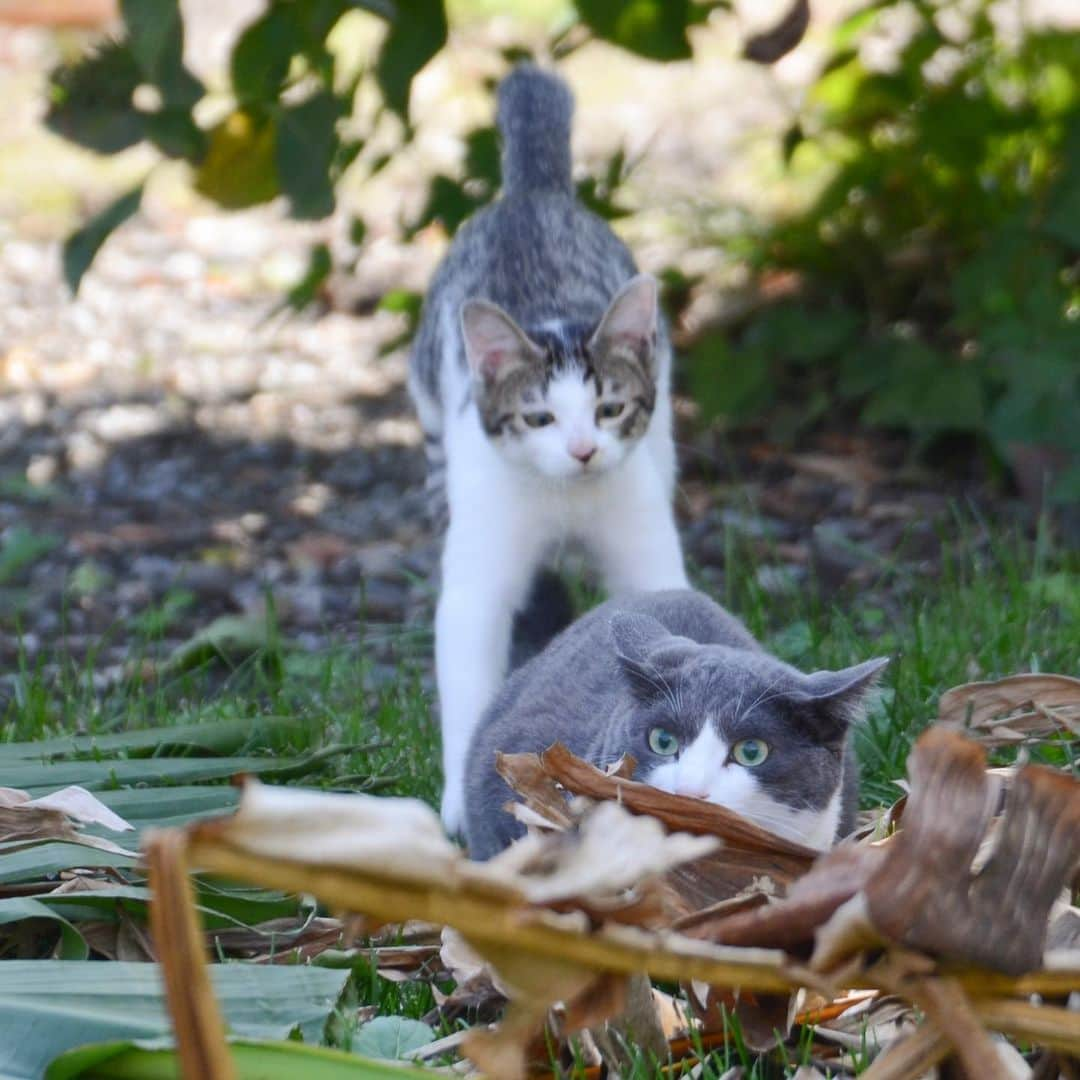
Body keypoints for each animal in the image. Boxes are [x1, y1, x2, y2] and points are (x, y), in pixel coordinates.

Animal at [408, 65, 686, 833]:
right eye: (538, 417)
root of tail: (532, 192)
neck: (566, 499)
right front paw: (460, 801)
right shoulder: (480, 564)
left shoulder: (640, 527)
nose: (585, 450)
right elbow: (469, 660)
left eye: (609, 408)